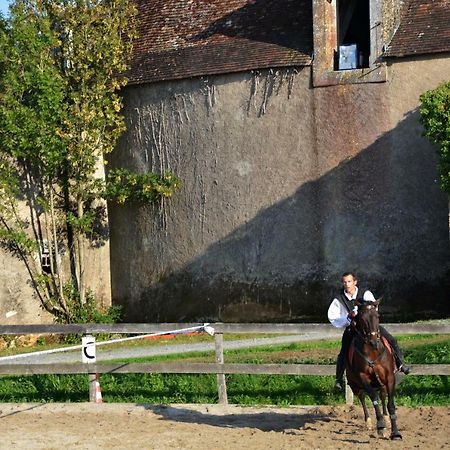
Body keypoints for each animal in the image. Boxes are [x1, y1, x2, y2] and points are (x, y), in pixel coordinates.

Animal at [342, 298, 402, 440]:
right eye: (362, 318)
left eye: (377, 316)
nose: (374, 341)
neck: (373, 352)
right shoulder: (363, 378)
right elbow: (374, 399)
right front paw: (380, 426)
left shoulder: (389, 378)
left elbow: (390, 404)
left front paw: (395, 432)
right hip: (355, 384)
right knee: (362, 398)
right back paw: (369, 422)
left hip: (381, 383)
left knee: (383, 396)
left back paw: (386, 418)